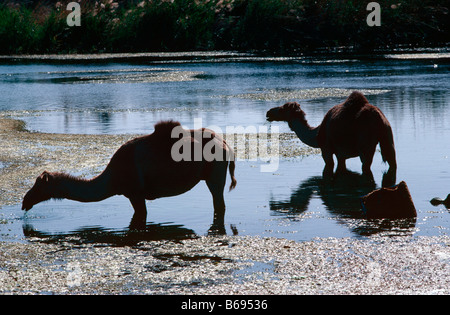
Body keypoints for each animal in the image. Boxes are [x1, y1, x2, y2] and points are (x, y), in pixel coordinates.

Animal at [22, 121, 237, 232]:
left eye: (38, 185)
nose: (24, 201)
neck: (111, 180)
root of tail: (226, 144)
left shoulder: (135, 193)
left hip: (215, 174)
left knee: (219, 204)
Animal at [268, 91, 398, 178]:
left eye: (282, 108)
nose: (268, 113)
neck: (316, 135)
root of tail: (380, 119)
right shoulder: (341, 154)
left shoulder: (326, 149)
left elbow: (330, 165)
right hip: (388, 137)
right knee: (392, 160)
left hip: (366, 145)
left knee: (366, 165)